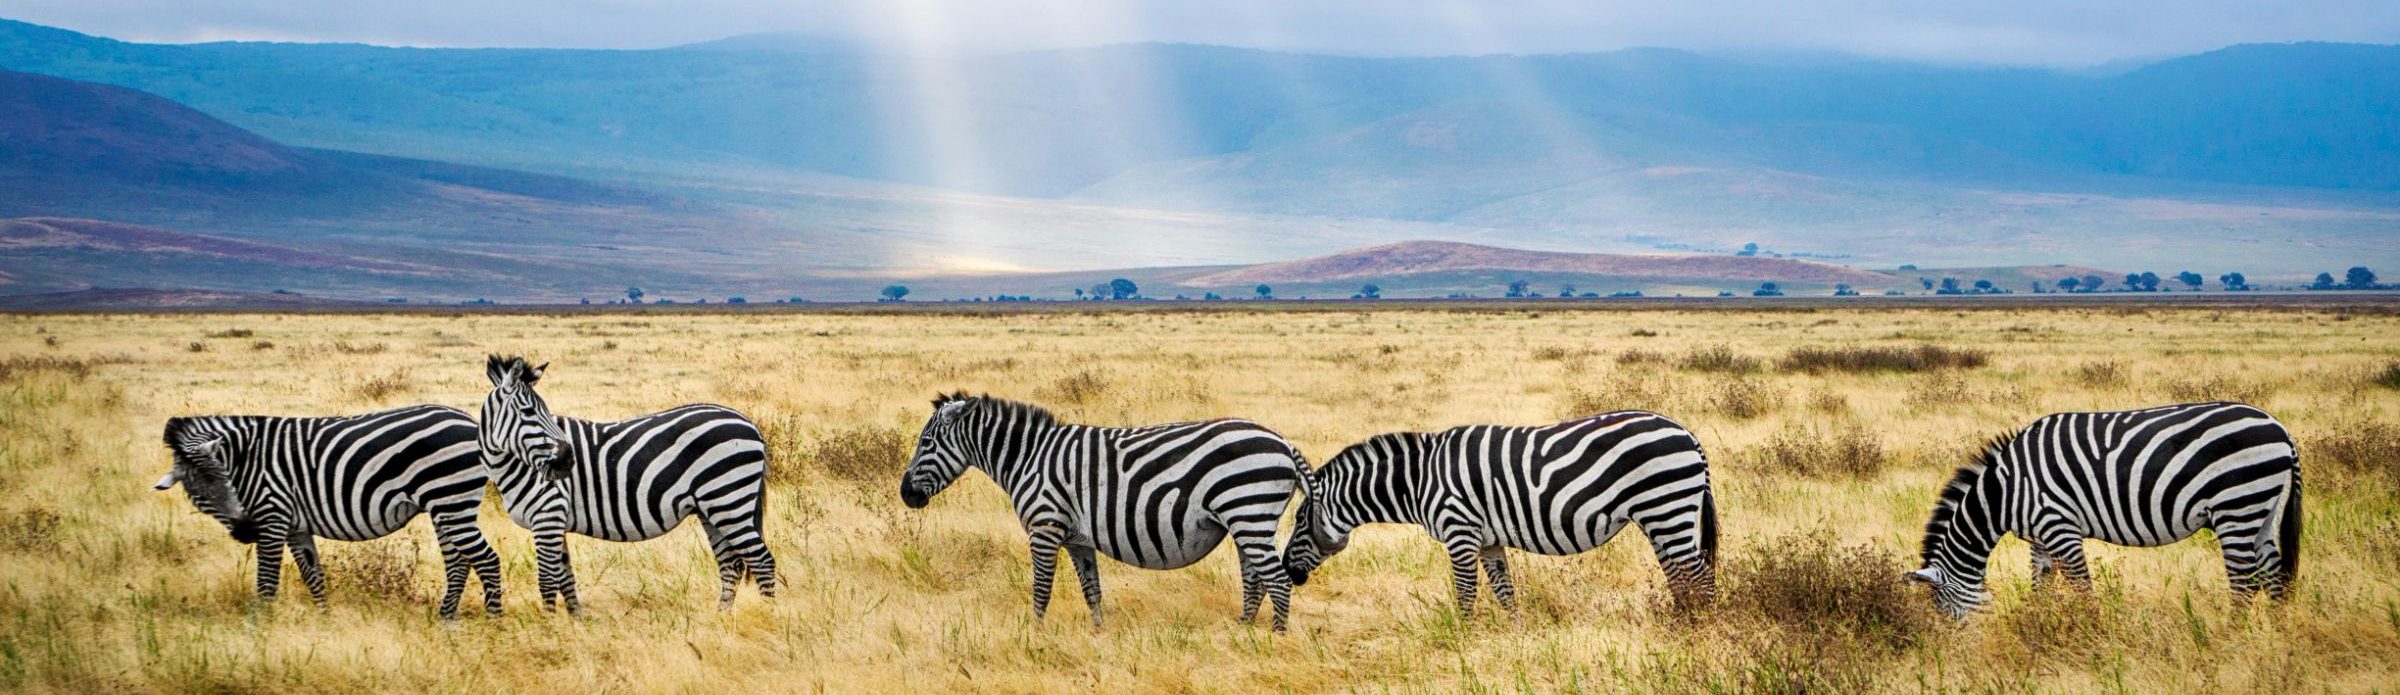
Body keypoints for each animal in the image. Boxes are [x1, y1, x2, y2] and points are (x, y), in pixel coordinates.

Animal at [152, 405, 503, 619]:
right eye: (198, 494)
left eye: (226, 480)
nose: (246, 531)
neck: (246, 458)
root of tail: (469, 420)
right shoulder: (295, 526)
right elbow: (313, 575)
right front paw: (324, 619)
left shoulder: (272, 516)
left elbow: (267, 581)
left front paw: (259, 628)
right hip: (444, 506)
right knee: (458, 562)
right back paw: (446, 619)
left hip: (451, 500)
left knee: (486, 559)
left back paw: (493, 621)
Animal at [478, 355, 777, 612]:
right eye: (529, 411)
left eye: (545, 411)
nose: (566, 460)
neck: (517, 464)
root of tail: (748, 422)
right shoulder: (555, 520)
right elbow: (566, 579)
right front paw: (576, 623)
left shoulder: (548, 515)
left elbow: (548, 581)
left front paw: (550, 626)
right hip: (712, 508)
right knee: (731, 564)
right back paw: (722, 618)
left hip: (729, 499)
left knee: (762, 561)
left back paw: (768, 615)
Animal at [900, 392, 1308, 631]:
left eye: (926, 442)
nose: (905, 495)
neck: (1028, 458)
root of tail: (1282, 442)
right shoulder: (1078, 539)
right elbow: (1091, 590)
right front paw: (1099, 636)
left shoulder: (1045, 527)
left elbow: (1041, 588)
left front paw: (1034, 636)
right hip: (1246, 521)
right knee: (1254, 579)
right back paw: (1242, 632)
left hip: (1249, 513)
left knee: (1277, 580)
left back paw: (1275, 640)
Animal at [1282, 411, 1719, 617]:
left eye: (1300, 521)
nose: (1288, 570)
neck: (1420, 480)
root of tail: (1688, 434)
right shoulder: (1488, 540)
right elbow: (1505, 593)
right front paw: (1515, 636)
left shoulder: (1460, 532)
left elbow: (1465, 594)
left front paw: (1463, 640)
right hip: (1660, 517)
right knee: (1679, 574)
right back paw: (1682, 621)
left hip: (1666, 507)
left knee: (1699, 574)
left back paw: (1702, 627)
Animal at [1907, 401, 2301, 619]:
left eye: (1944, 611)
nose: (1956, 649)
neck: (2005, 491)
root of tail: (2280, 428)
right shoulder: (2039, 538)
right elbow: (2041, 585)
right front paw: (2037, 626)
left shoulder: (2059, 527)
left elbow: (2082, 587)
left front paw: (2091, 632)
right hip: (2261, 510)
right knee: (2272, 574)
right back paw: (2277, 637)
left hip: (2235, 505)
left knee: (2244, 583)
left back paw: (2228, 639)